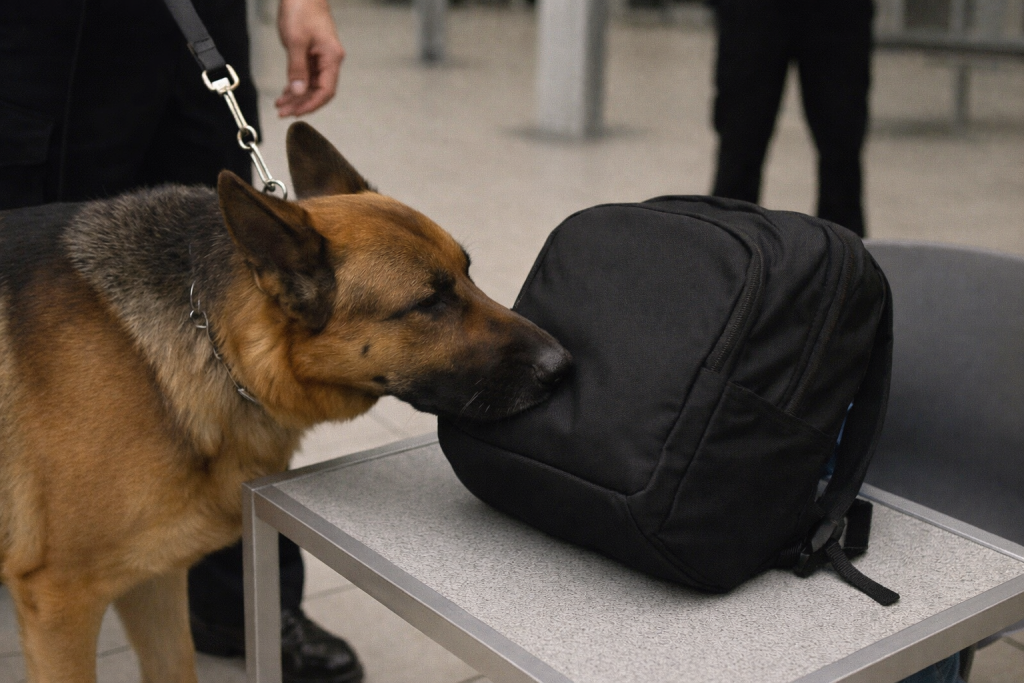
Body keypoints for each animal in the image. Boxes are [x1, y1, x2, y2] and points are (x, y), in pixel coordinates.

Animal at [0, 122, 571, 683]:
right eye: (430, 302)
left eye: (468, 273)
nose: (563, 365)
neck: (208, 340)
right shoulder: (60, 603)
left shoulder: (151, 577)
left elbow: (176, 663)